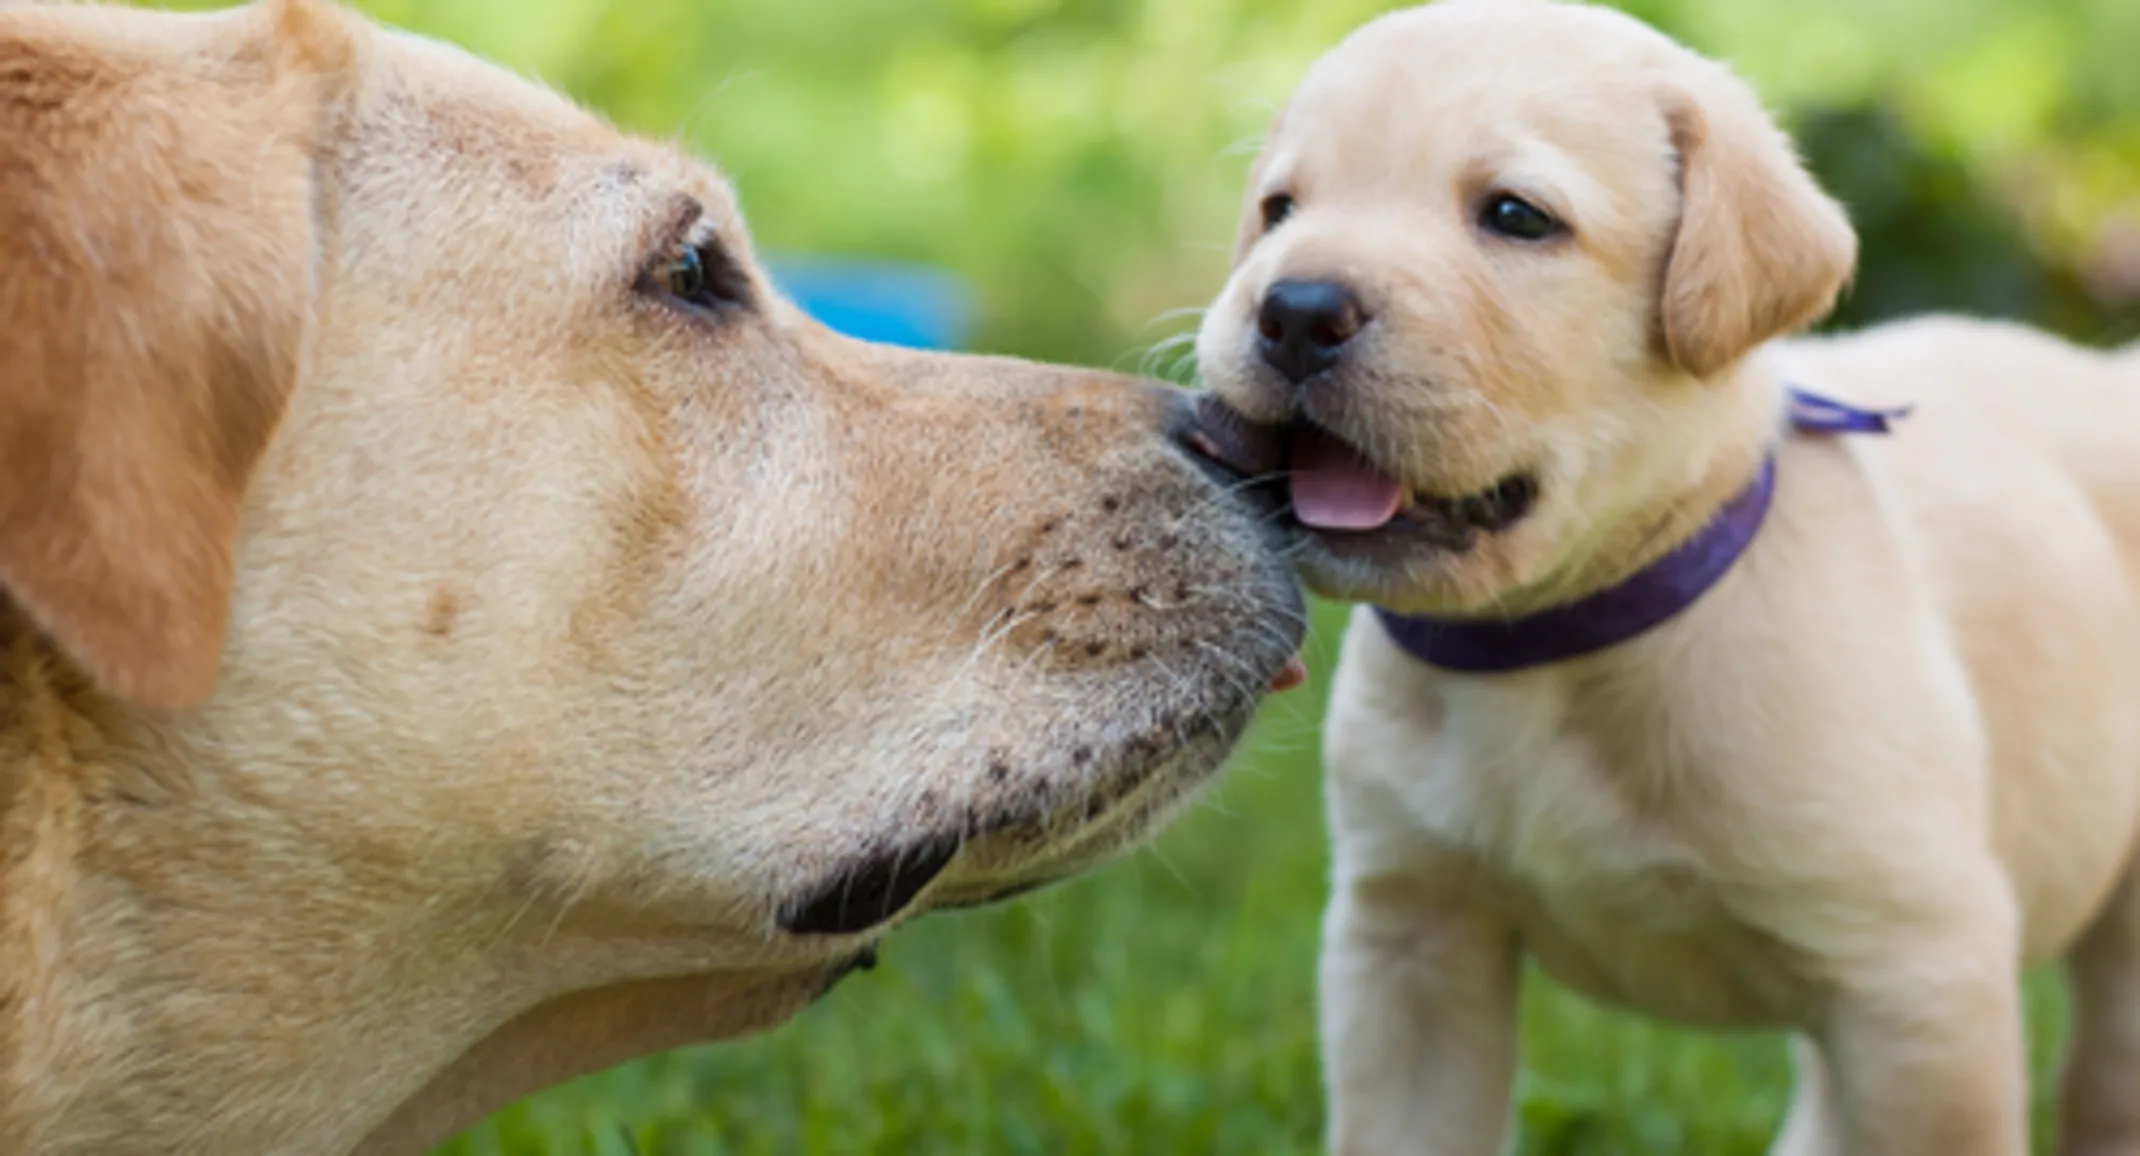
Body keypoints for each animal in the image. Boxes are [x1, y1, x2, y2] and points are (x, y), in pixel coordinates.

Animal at [1198, 2, 2140, 1156]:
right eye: (1279, 209)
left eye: (1515, 216)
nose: (1292, 308)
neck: (1552, 643)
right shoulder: (1409, 940)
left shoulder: (1919, 978)